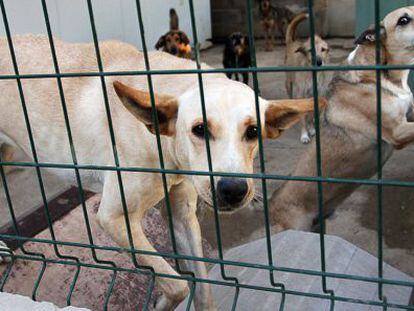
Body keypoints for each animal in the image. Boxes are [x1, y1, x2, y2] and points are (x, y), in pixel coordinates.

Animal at [0, 34, 326, 311]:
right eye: (199, 129)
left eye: (253, 131)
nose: (233, 191)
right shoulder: (115, 218)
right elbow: (178, 285)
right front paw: (161, 305)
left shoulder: (181, 214)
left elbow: (202, 285)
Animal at [286, 12, 332, 144]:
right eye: (311, 50)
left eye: (323, 49)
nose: (319, 62)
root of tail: (292, 42)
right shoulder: (301, 95)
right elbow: (303, 118)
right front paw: (304, 135)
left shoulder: (316, 95)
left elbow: (311, 115)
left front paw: (311, 129)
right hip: (289, 85)